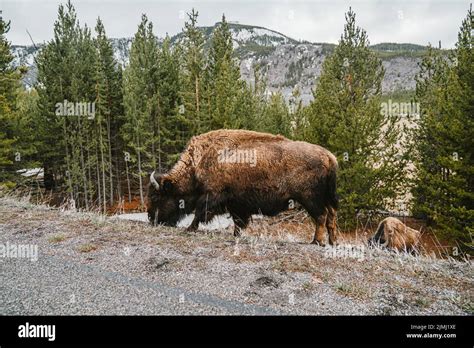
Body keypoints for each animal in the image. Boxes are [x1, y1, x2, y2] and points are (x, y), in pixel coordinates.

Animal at [146, 129, 338, 246]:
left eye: (155, 196)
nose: (151, 218)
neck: (199, 162)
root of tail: (329, 156)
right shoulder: (236, 204)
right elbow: (238, 221)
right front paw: (236, 235)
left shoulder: (212, 195)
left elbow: (200, 212)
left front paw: (190, 229)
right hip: (326, 198)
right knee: (331, 216)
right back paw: (332, 242)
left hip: (310, 199)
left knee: (321, 216)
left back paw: (317, 241)